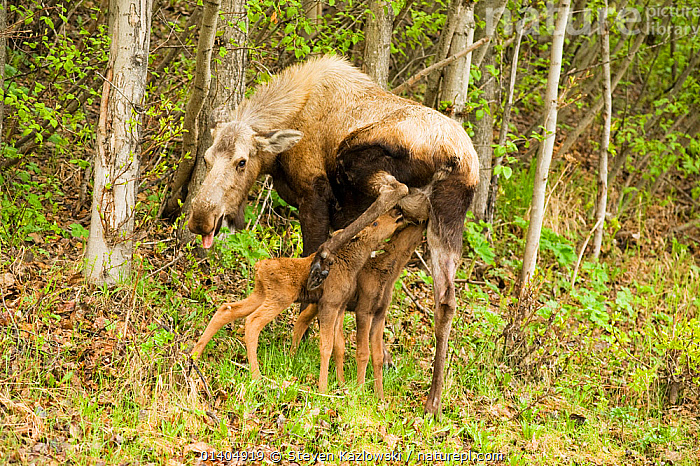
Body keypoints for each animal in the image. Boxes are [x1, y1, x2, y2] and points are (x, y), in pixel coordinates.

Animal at [189, 210, 404, 390]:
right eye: (375, 222)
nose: (397, 213)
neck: (352, 265)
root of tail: (258, 267)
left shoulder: (340, 305)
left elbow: (339, 345)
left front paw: (342, 385)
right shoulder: (329, 303)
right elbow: (326, 346)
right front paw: (324, 388)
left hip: (260, 293)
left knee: (226, 309)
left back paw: (194, 356)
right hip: (280, 297)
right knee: (252, 322)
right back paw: (256, 375)